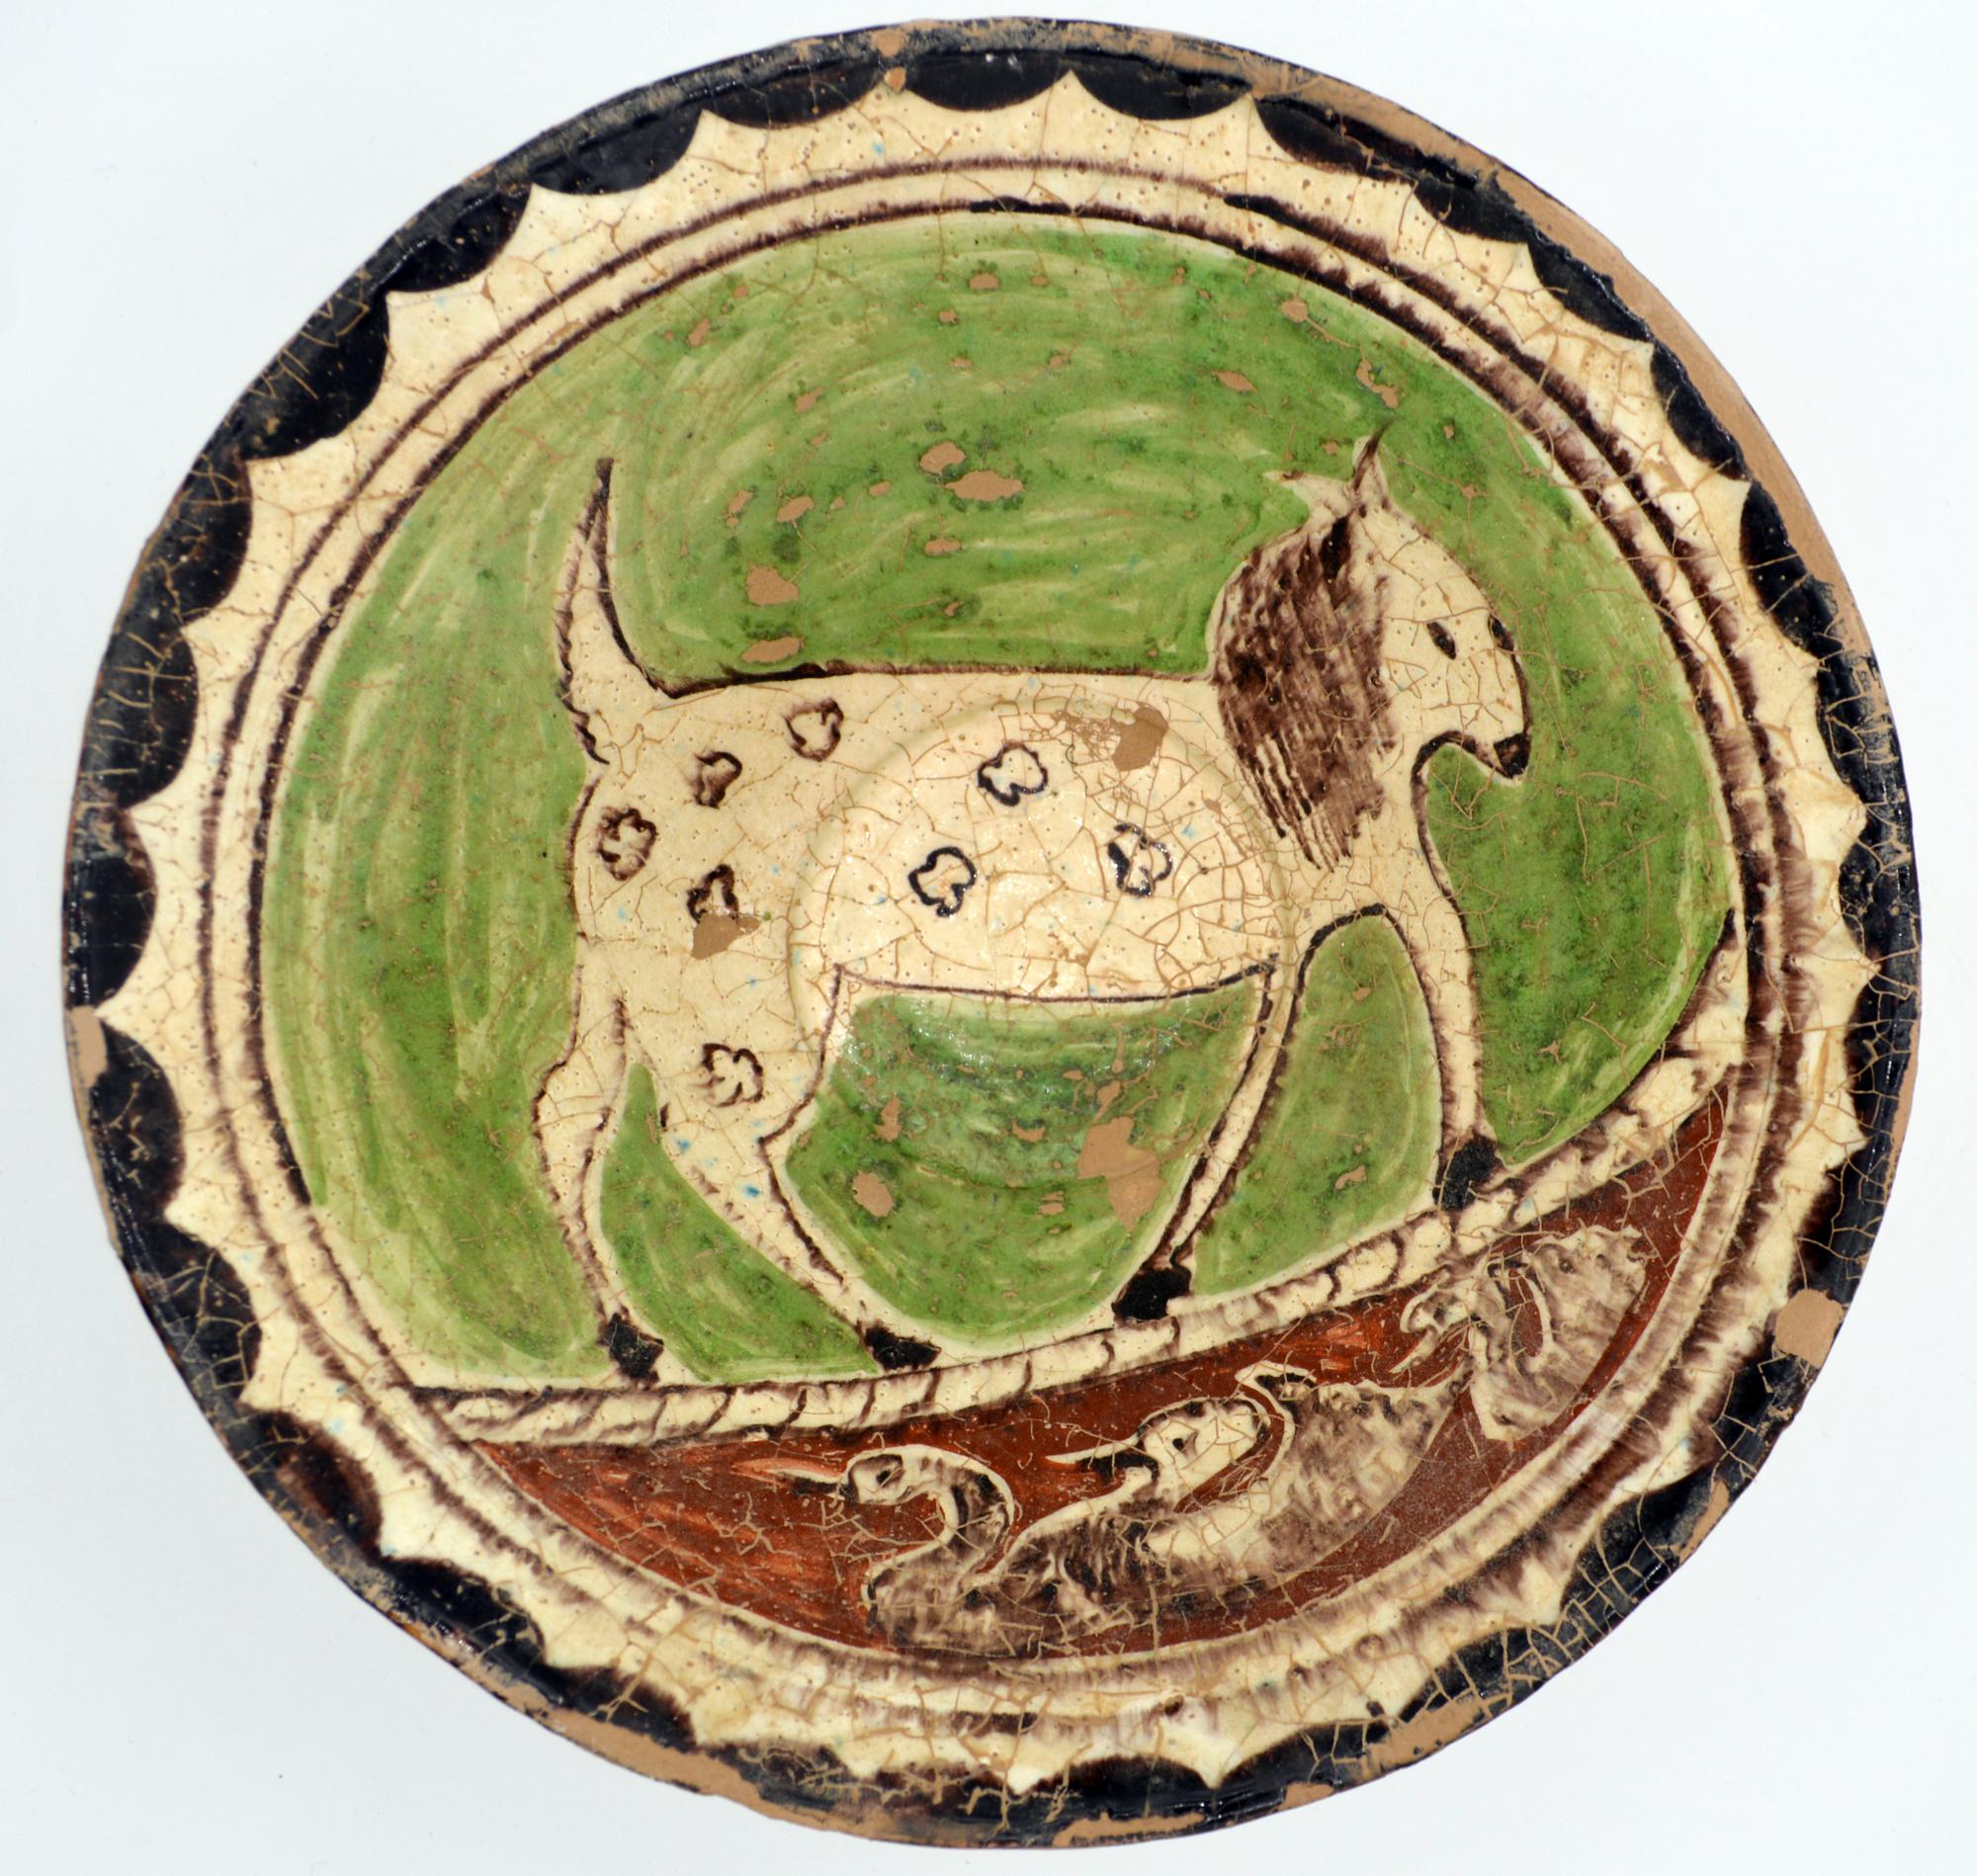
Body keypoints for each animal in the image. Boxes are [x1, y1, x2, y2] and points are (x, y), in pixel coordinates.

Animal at [533, 435, 1530, 1377]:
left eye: (1498, 627)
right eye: (1444, 636)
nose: (1518, 749)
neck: (1273, 747)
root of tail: (632, 720)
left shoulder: (1353, 889)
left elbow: (1427, 955)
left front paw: (1462, 1164)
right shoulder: (1297, 923)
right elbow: (1269, 1080)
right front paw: (1159, 1277)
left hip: (623, 988)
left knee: (567, 1111)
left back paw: (630, 1341)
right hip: (737, 1024)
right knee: (709, 1152)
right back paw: (891, 1338)